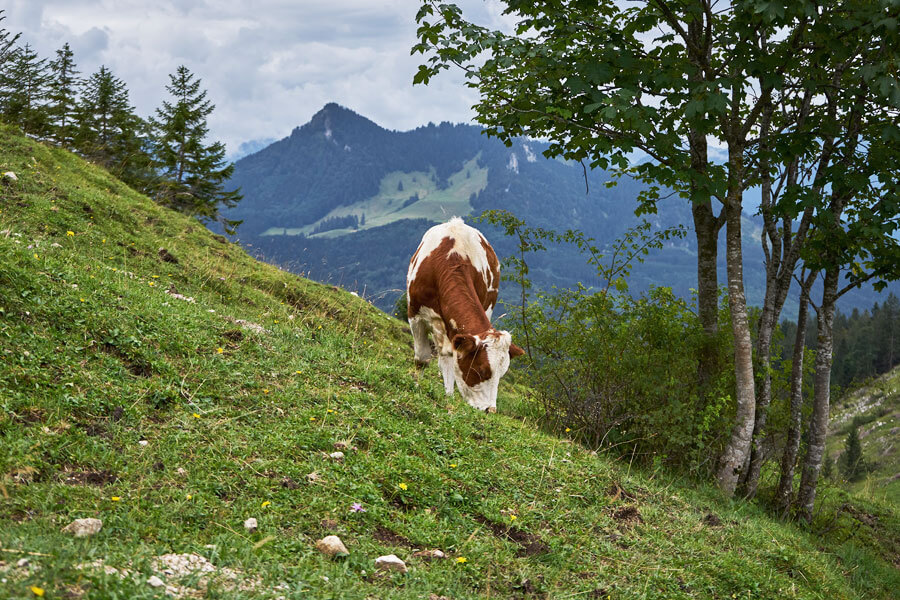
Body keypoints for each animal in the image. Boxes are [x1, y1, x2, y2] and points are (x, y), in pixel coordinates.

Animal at [404, 217, 524, 412]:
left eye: (501, 374)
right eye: (481, 370)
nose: (490, 410)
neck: (451, 261)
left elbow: (450, 365)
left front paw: (448, 397)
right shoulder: (415, 315)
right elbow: (422, 358)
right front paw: (417, 385)